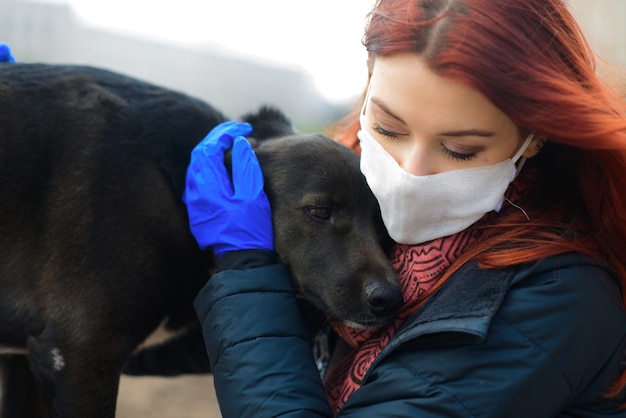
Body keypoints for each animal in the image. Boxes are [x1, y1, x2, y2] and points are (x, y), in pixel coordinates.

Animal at [0, 63, 400, 416]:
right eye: (319, 211)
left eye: (384, 228)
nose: (389, 299)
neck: (178, 185)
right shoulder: (83, 353)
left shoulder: (31, 359)